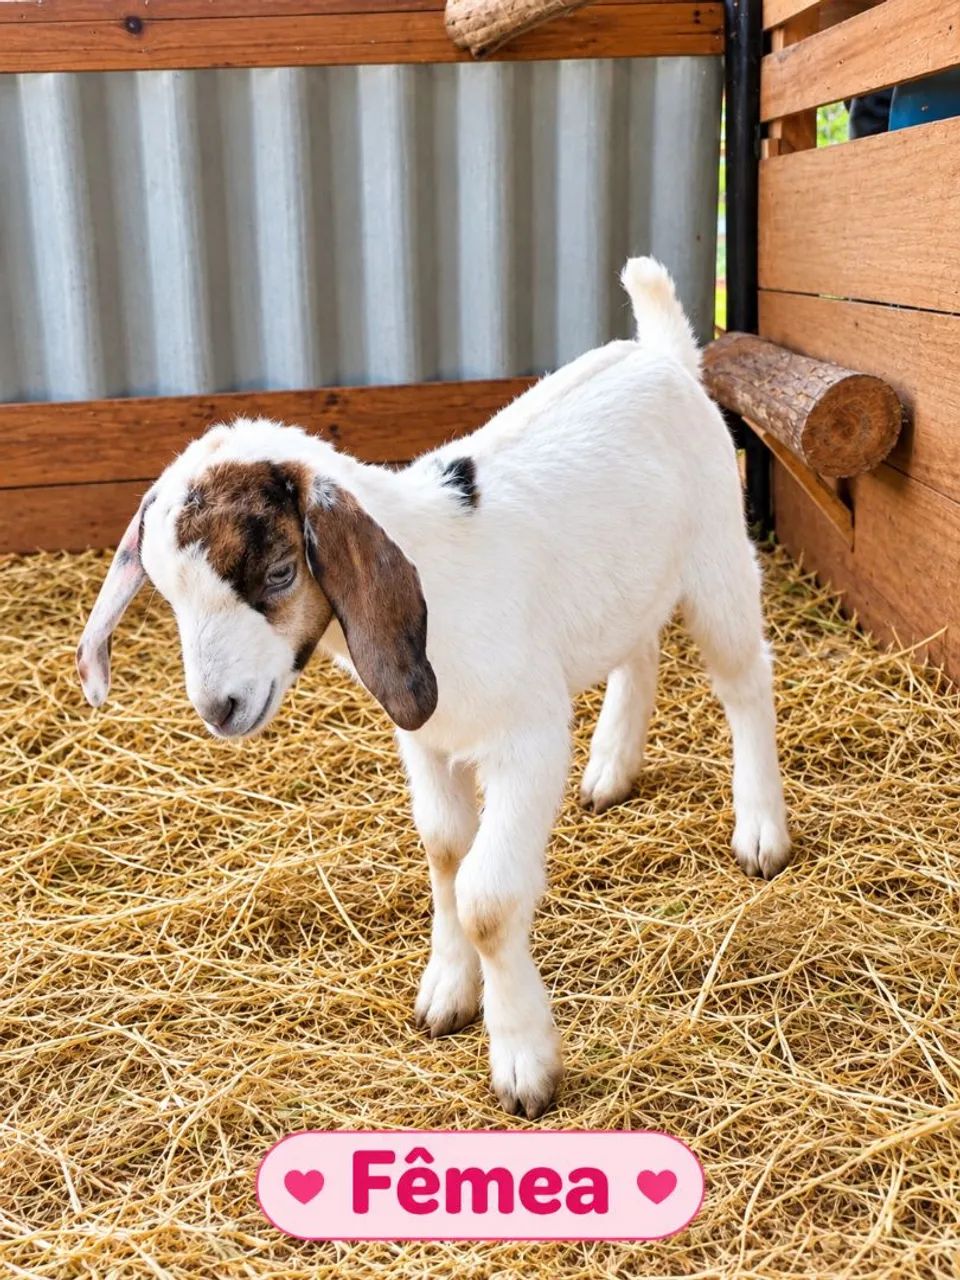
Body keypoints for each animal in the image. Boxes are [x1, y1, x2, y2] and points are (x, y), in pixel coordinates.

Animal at [78, 259, 791, 1119]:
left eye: (280, 574)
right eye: (165, 592)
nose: (221, 709)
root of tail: (660, 353)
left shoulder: (525, 740)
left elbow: (486, 897)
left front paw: (522, 1060)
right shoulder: (426, 739)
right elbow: (446, 852)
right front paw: (449, 993)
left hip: (717, 556)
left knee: (746, 679)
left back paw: (761, 830)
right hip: (630, 582)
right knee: (639, 649)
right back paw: (611, 770)